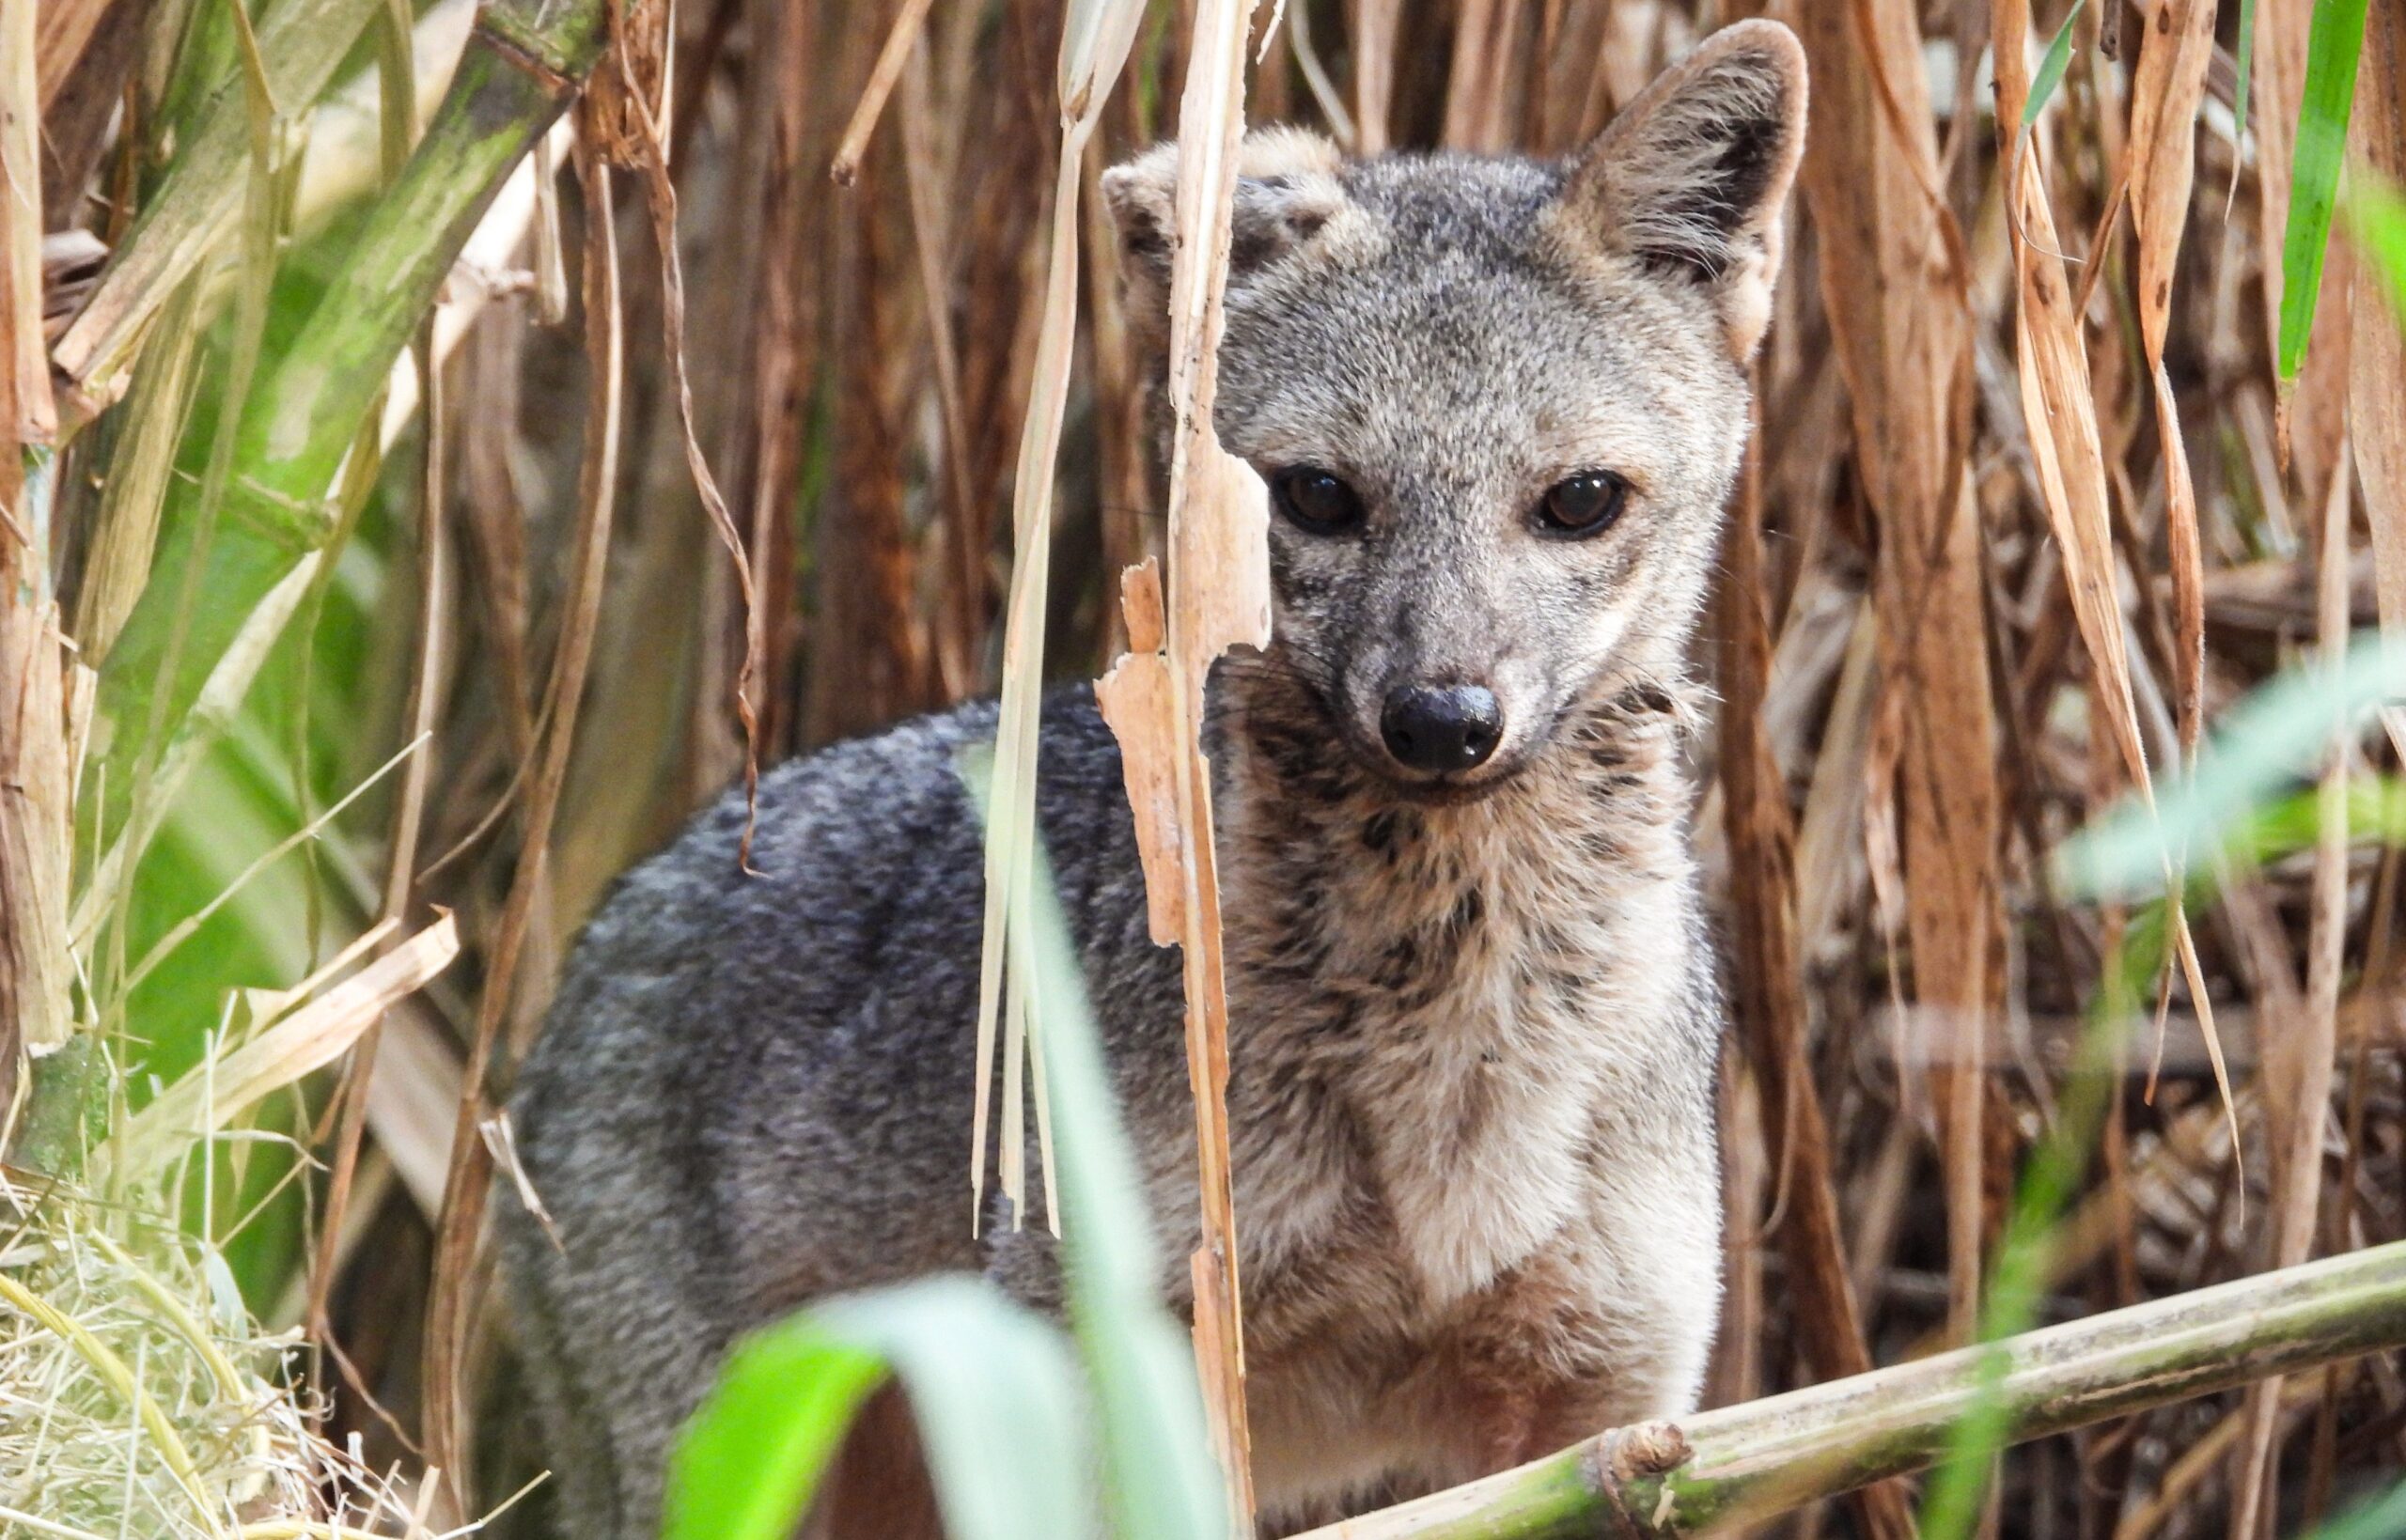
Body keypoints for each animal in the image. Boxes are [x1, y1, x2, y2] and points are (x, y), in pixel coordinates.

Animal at [492, 21, 1809, 1540]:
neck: (1448, 1083)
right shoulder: (1129, 1385)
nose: (1441, 719)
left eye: (1580, 500)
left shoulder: (1601, 1405)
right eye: (1315, 496)